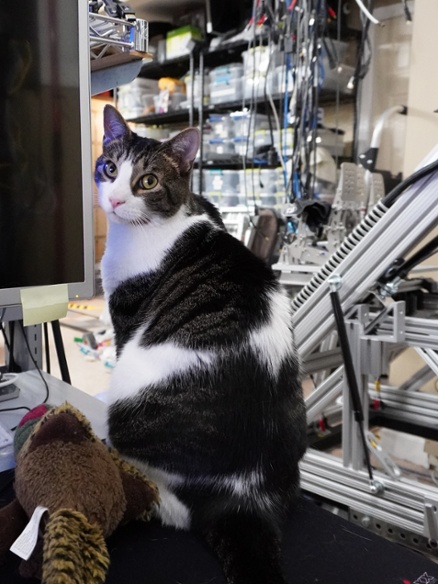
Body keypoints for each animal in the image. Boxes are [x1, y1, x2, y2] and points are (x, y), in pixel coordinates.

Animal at [96, 106, 308, 584]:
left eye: (148, 181)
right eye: (110, 168)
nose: (114, 201)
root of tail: (245, 496)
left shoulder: (127, 316)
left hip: (131, 405)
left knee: (180, 509)